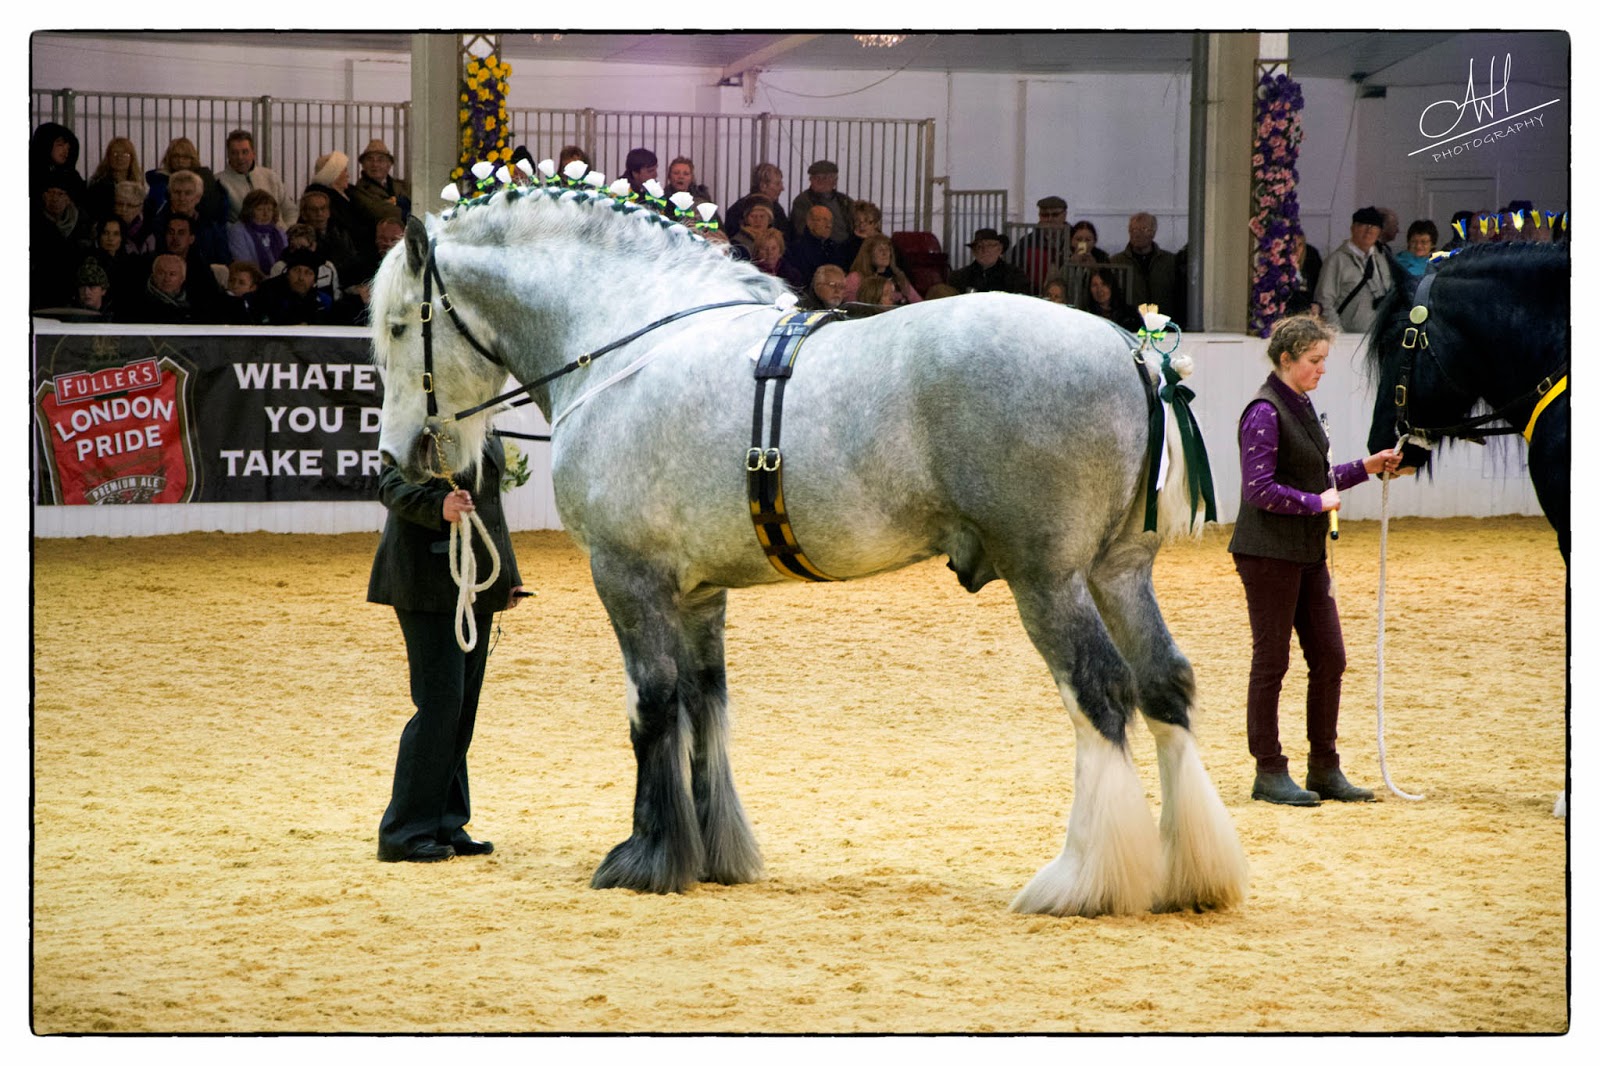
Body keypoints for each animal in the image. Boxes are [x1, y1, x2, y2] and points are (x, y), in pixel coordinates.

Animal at [368, 177, 1249, 917]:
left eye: (399, 326)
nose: (402, 455)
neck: (627, 344)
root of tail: (1135, 353)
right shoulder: (700, 594)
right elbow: (706, 707)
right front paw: (713, 855)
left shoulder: (629, 578)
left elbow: (653, 707)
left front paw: (647, 857)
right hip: (1116, 573)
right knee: (1166, 685)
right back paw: (1191, 873)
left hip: (1049, 579)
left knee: (1100, 694)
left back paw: (1085, 880)